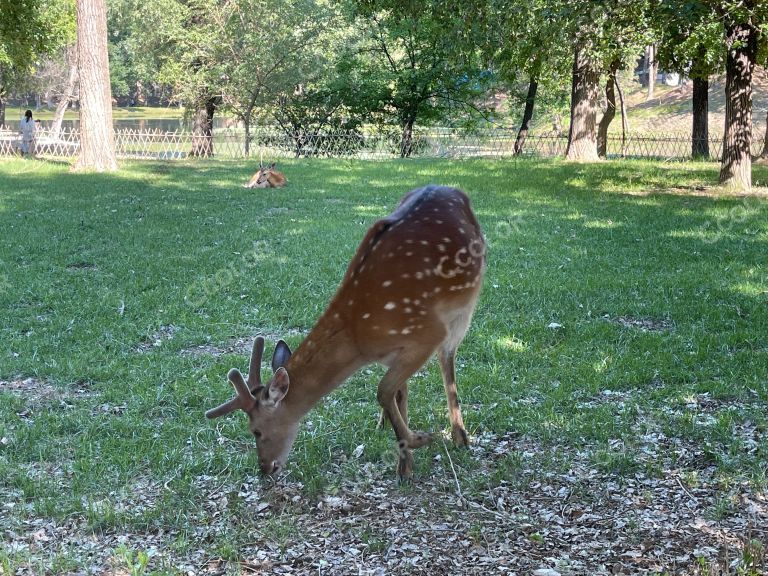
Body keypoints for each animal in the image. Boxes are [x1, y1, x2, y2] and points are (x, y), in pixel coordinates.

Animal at [204, 184, 486, 476]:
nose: (265, 468)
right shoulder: (396, 353)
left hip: (463, 310)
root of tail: (454, 189)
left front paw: (419, 441)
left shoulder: (427, 334)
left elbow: (383, 390)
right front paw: (405, 463)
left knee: (447, 360)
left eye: (256, 431)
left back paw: (459, 435)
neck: (360, 338)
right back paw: (386, 426)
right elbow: (395, 391)